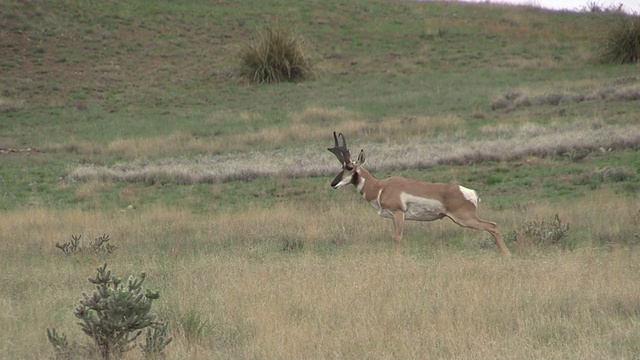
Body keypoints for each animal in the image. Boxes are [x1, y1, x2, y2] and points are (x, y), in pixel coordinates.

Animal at [328, 132, 512, 256]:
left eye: (349, 167)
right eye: (341, 167)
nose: (333, 184)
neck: (381, 187)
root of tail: (468, 191)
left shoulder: (399, 214)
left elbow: (397, 237)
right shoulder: (393, 217)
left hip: (465, 219)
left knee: (492, 226)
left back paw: (507, 254)